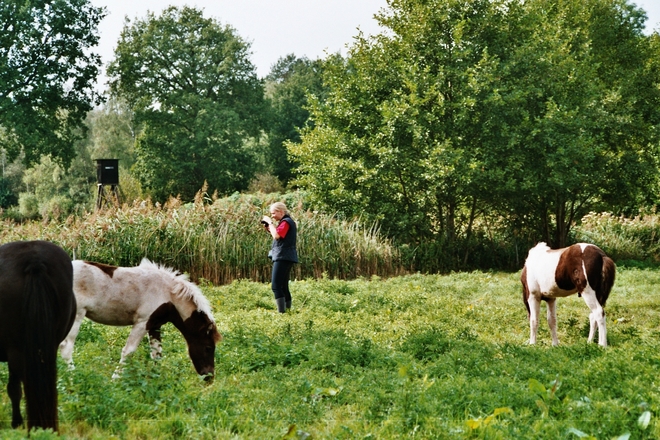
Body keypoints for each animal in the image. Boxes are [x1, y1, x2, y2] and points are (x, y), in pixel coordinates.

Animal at [60, 260, 219, 380]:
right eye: (208, 347)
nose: (209, 377)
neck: (168, 293)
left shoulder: (155, 325)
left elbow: (156, 353)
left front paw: (156, 379)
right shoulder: (142, 323)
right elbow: (128, 351)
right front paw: (115, 379)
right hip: (77, 316)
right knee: (66, 347)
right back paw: (73, 378)